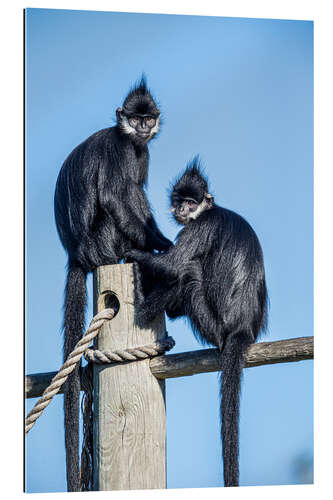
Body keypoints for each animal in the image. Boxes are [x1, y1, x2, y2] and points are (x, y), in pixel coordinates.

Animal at [53, 77, 172, 492]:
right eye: (134, 118)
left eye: (148, 117)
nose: (143, 127)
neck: (130, 139)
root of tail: (78, 254)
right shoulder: (122, 150)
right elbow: (114, 195)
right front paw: (163, 245)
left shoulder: (141, 150)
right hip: (105, 239)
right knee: (122, 195)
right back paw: (140, 250)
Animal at [124, 158, 268, 486]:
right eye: (180, 200)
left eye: (192, 203)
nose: (182, 209)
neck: (209, 210)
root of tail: (242, 330)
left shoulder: (201, 225)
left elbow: (173, 265)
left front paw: (135, 252)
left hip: (213, 325)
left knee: (188, 271)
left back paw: (143, 304)